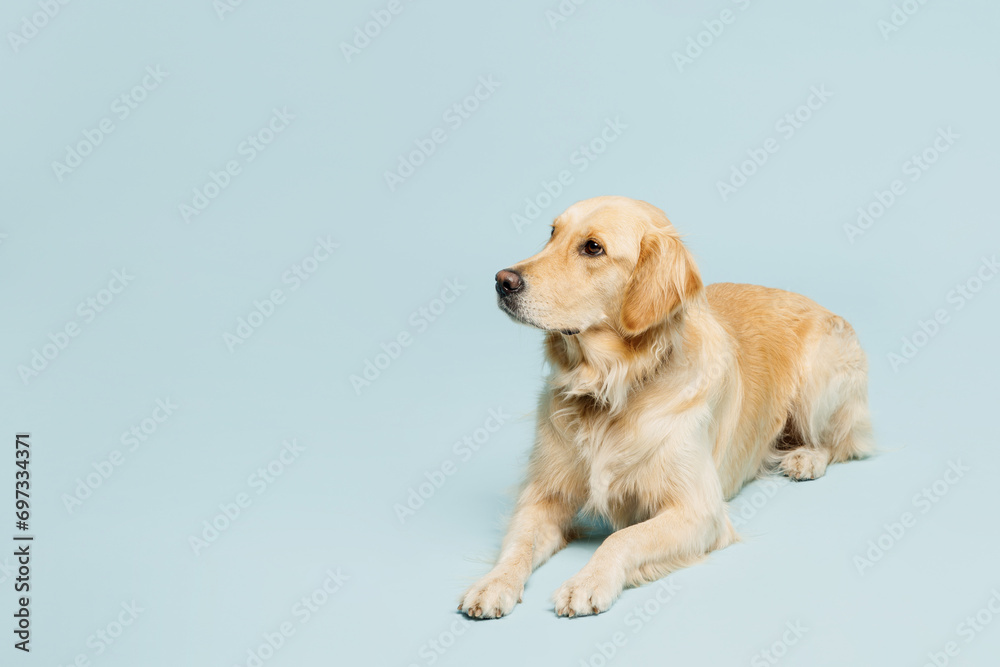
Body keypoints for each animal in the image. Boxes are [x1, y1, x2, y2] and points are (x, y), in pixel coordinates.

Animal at [460, 196, 876, 620]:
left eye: (593, 247)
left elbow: (622, 538)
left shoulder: (698, 511)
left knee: (843, 442)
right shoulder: (544, 495)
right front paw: (494, 583)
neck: (614, 385)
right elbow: (519, 542)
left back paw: (806, 458)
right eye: (552, 233)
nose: (503, 281)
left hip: (818, 378)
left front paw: (587, 582)